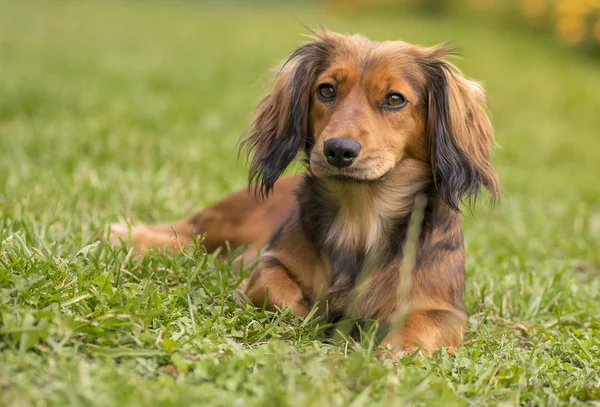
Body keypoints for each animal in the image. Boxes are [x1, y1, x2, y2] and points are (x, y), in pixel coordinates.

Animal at [110, 30, 500, 356]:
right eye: (326, 90)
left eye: (394, 99)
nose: (338, 150)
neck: (360, 217)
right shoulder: (271, 260)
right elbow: (273, 288)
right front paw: (305, 317)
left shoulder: (442, 308)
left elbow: (419, 328)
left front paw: (392, 354)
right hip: (225, 223)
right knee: (186, 234)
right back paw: (129, 237)